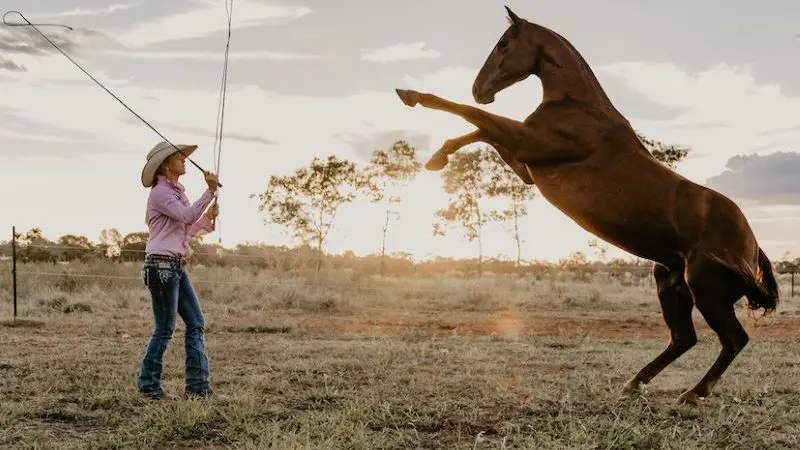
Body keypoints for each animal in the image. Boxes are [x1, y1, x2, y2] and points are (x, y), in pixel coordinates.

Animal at [394, 6, 779, 405]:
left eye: (503, 44)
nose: (479, 89)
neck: (579, 107)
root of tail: (752, 248)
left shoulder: (527, 144)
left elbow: (472, 116)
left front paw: (412, 95)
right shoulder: (525, 164)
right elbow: (480, 130)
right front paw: (438, 157)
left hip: (704, 286)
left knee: (733, 339)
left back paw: (692, 393)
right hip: (670, 279)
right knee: (683, 338)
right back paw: (633, 383)